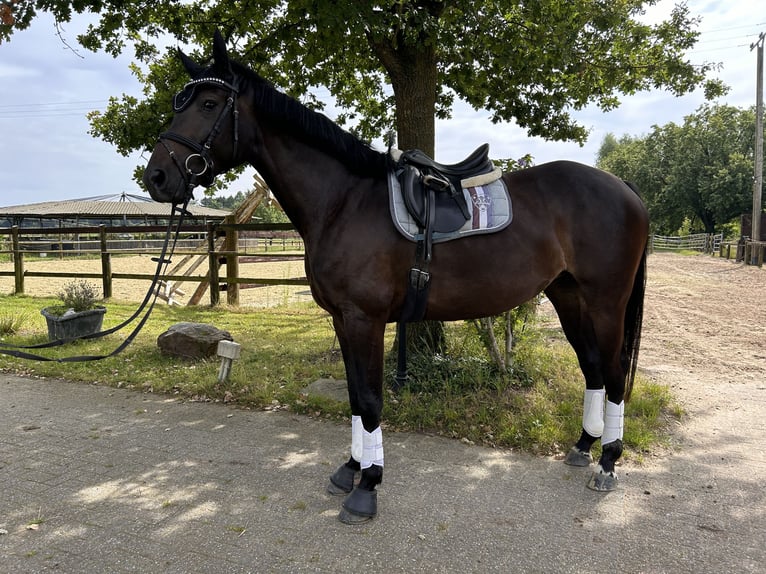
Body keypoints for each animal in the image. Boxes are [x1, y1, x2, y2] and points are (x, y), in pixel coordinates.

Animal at [142, 31, 648, 528]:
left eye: (209, 103)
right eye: (181, 102)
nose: (157, 177)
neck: (344, 202)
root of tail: (623, 187)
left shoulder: (364, 319)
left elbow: (369, 400)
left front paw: (367, 488)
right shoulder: (342, 319)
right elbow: (353, 396)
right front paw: (351, 469)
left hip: (606, 302)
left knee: (614, 371)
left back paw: (608, 462)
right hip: (568, 296)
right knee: (593, 367)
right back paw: (584, 447)